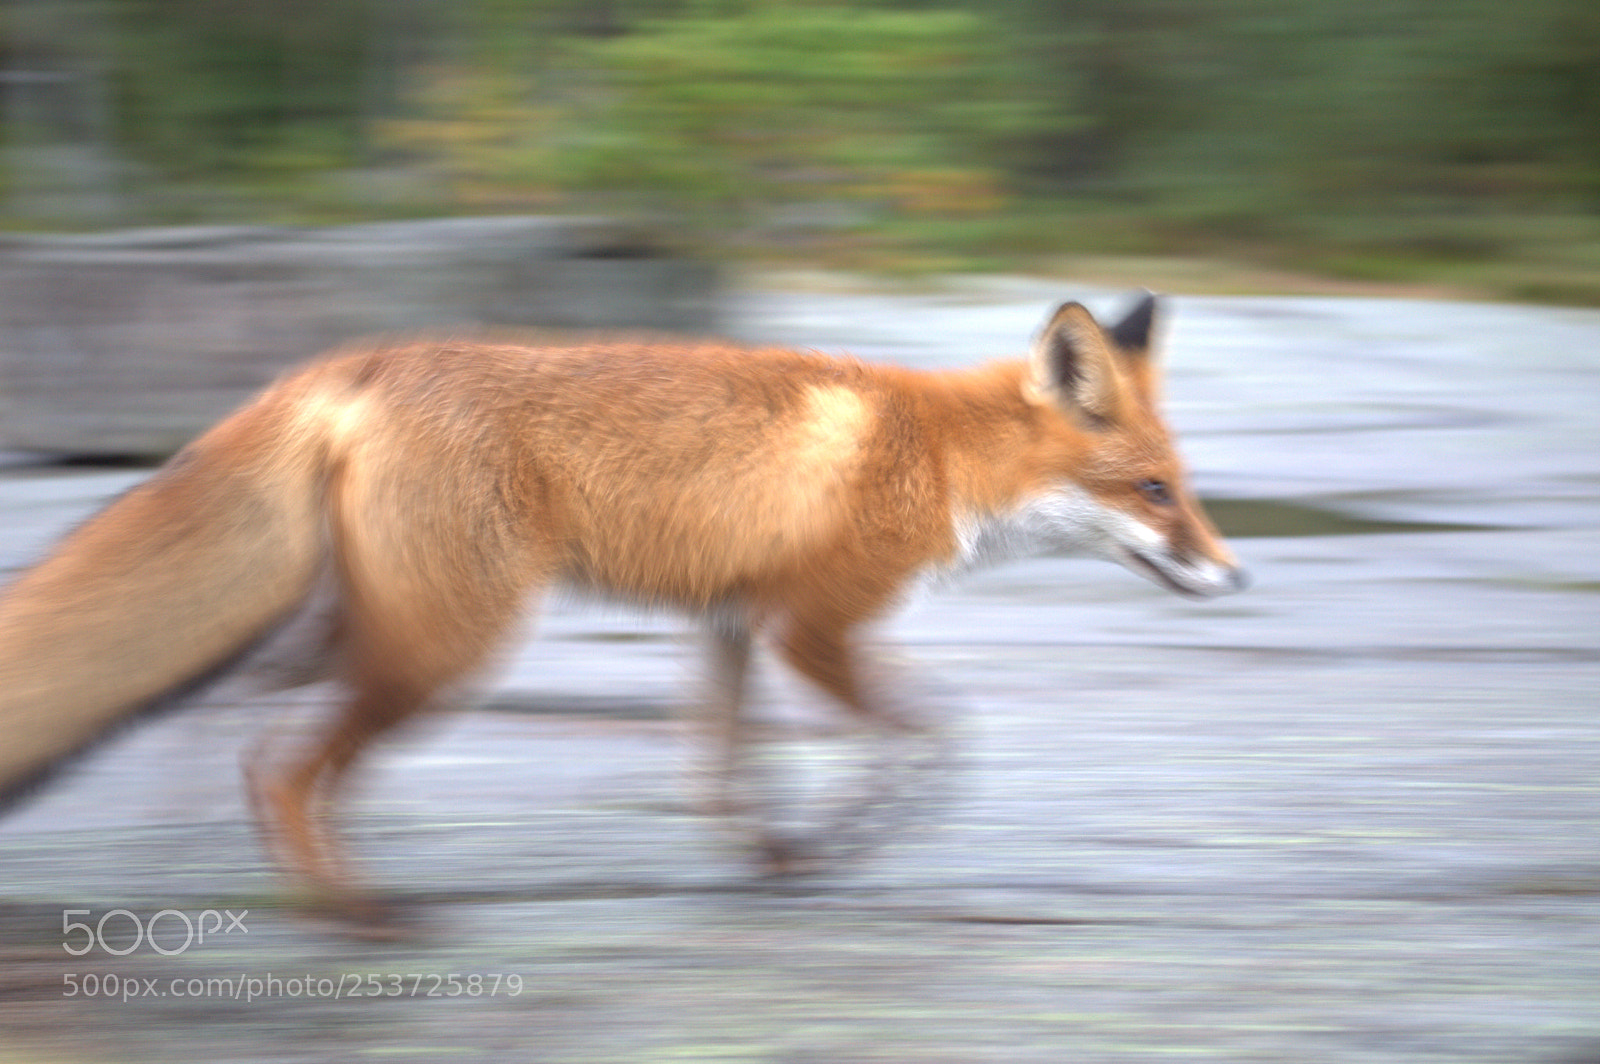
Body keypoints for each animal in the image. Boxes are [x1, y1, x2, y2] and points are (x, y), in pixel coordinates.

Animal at [0, 292, 1244, 913]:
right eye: (1154, 490)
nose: (1237, 575)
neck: (936, 453)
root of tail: (354, 362)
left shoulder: (738, 624)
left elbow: (724, 772)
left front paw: (776, 856)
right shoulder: (814, 626)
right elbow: (934, 743)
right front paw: (838, 842)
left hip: (366, 627)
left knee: (230, 709)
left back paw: (195, 850)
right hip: (443, 646)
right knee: (285, 766)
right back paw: (348, 909)